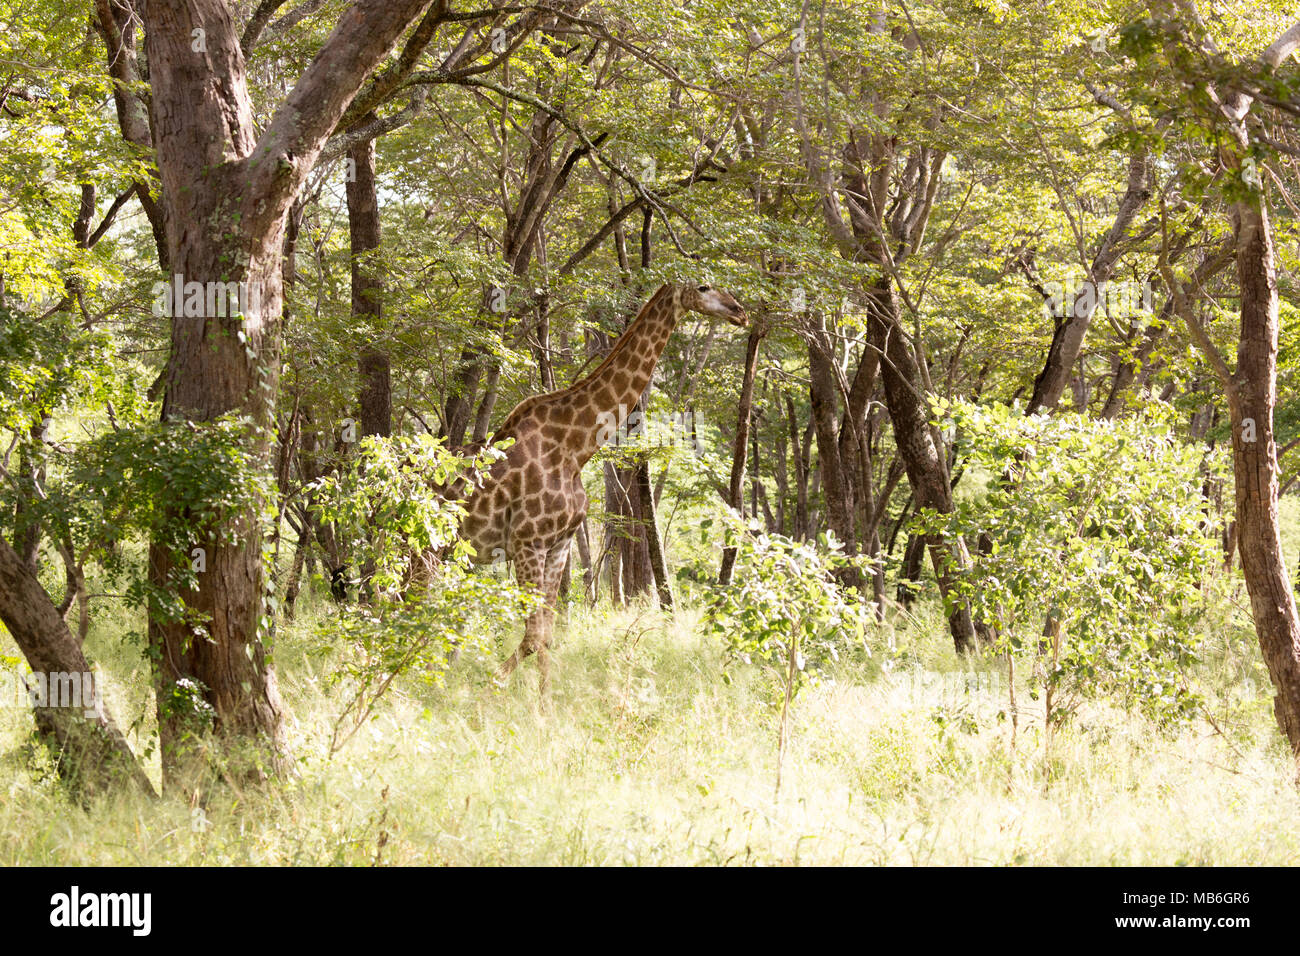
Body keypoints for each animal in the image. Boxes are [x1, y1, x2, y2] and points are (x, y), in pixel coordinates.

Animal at [457, 282, 748, 697]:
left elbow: (544, 635)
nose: (740, 312)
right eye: (704, 286)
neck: (574, 448)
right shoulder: (528, 542)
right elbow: (534, 634)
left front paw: (540, 703)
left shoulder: (558, 544)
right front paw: (493, 692)